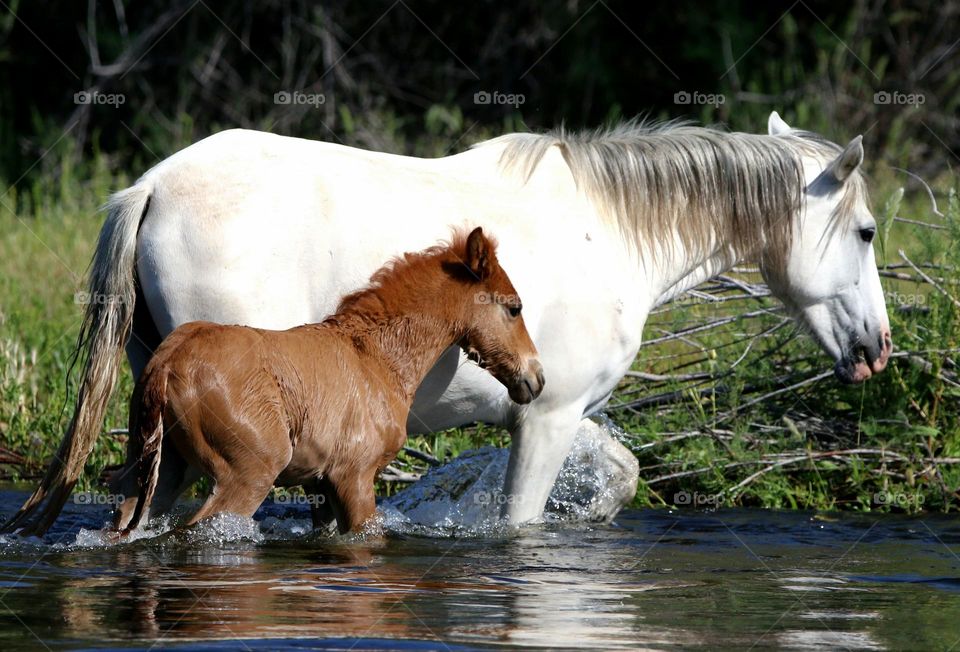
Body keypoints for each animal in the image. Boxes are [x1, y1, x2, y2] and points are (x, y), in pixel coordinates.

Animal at [113, 227, 544, 535]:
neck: (380, 360)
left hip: (159, 470)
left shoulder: (319, 485)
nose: (536, 377)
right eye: (514, 307)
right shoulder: (355, 476)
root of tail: (165, 364)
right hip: (248, 472)